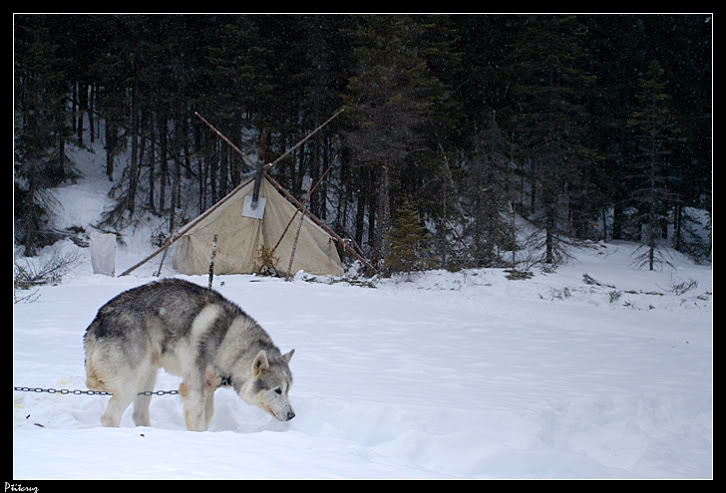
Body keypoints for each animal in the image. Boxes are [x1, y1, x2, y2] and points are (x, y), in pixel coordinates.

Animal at [86, 278, 298, 428]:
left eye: (288, 390)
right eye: (277, 390)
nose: (292, 415)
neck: (225, 341)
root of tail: (97, 320)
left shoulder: (208, 389)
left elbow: (208, 415)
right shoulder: (194, 389)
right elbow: (198, 420)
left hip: (147, 377)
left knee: (139, 414)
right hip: (132, 382)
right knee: (110, 418)